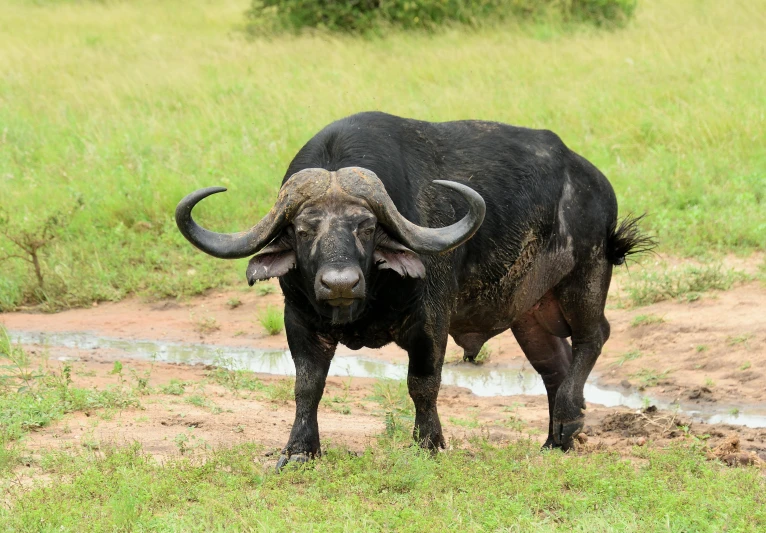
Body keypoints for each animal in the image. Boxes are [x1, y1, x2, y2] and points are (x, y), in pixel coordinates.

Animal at [176, 110, 656, 468]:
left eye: (367, 226)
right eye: (302, 229)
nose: (339, 283)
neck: (367, 301)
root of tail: (593, 182)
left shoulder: (431, 321)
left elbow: (422, 383)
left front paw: (429, 444)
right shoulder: (299, 320)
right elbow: (306, 385)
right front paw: (298, 451)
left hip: (586, 274)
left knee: (594, 337)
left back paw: (572, 420)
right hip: (530, 312)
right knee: (554, 366)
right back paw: (556, 440)